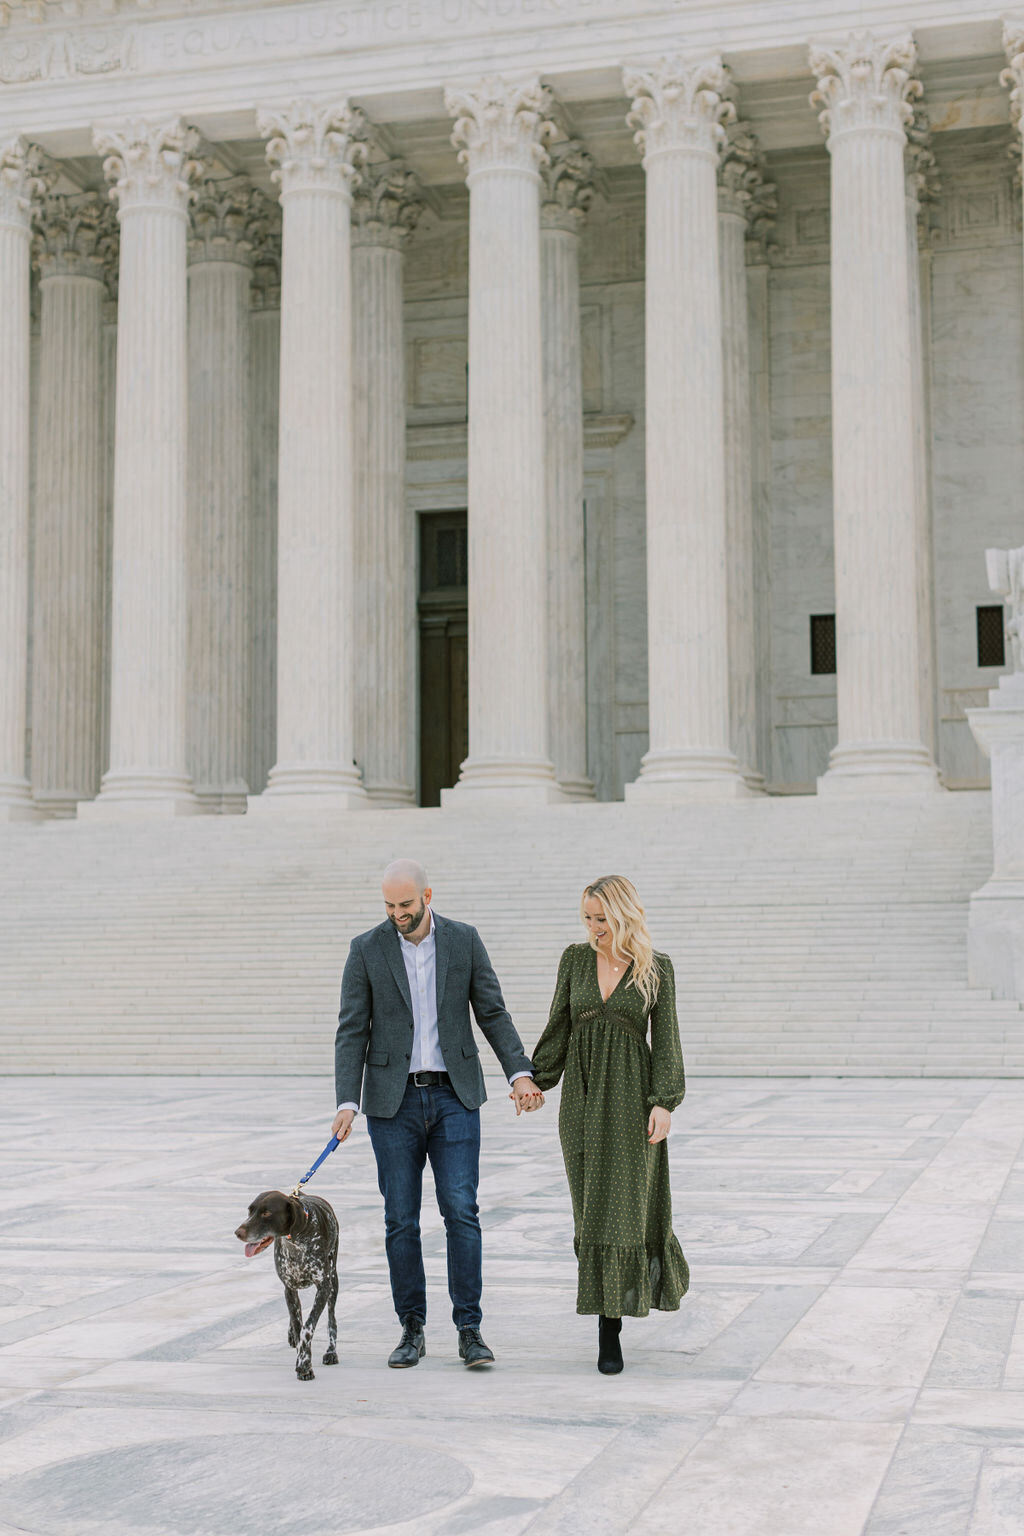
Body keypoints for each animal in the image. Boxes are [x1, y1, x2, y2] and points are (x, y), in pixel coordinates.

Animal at [234, 1185, 340, 1382]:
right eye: (250, 1211)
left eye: (267, 1213)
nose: (238, 1232)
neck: (296, 1242)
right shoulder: (289, 1288)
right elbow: (298, 1327)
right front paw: (303, 1360)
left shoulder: (323, 1288)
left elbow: (307, 1328)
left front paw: (304, 1365)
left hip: (333, 1282)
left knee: (332, 1319)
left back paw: (331, 1352)